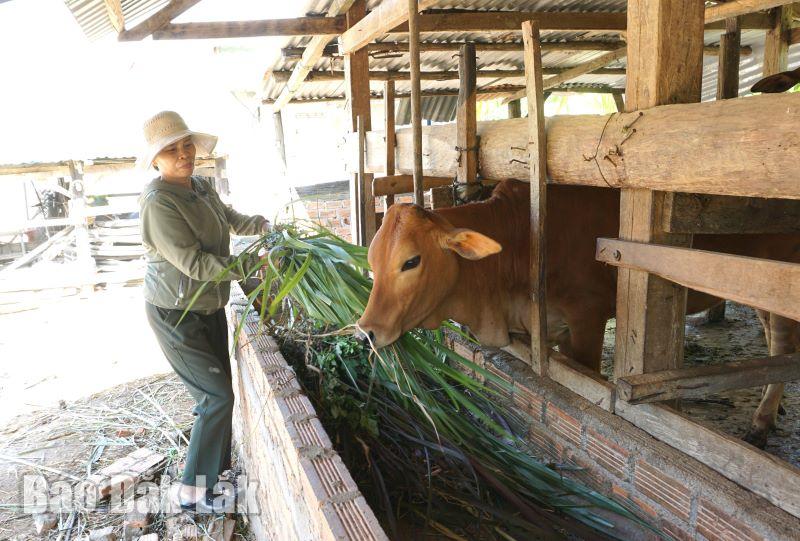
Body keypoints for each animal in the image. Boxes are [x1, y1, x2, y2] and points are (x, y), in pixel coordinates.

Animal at [360, 181, 800, 448]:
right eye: (372, 259)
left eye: (411, 261)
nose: (367, 330)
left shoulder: (586, 318)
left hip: (778, 281)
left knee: (782, 343)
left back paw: (762, 421)